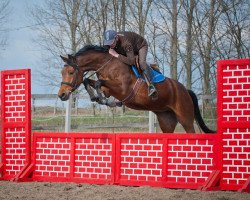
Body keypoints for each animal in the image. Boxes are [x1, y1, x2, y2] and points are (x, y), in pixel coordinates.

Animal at [57, 44, 216, 134]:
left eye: (71, 72)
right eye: (62, 72)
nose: (61, 95)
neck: (108, 64)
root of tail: (185, 90)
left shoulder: (122, 89)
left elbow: (98, 83)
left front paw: (105, 100)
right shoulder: (108, 88)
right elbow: (88, 81)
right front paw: (97, 97)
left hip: (185, 118)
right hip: (166, 120)